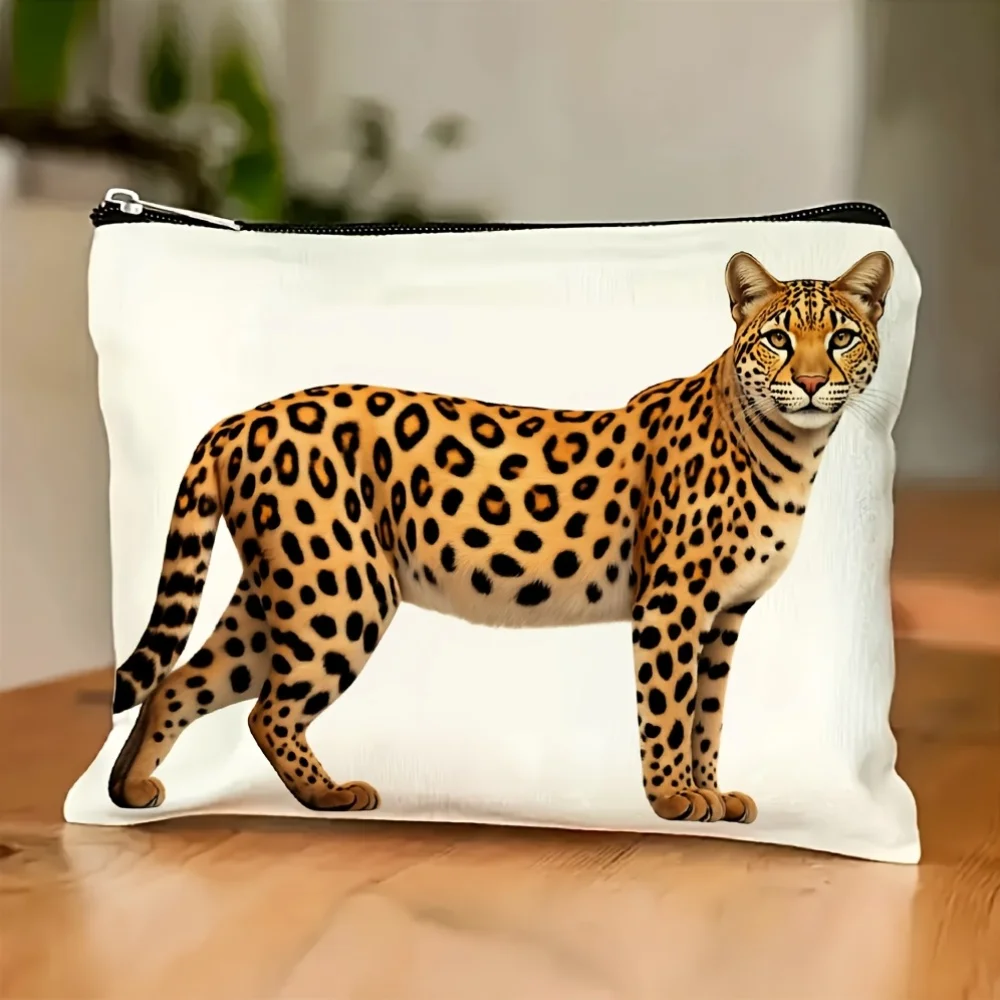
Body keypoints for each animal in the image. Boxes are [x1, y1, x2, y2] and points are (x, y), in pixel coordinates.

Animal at [108, 249, 893, 825]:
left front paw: (712, 791)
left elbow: (708, 712)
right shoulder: (673, 604)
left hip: (290, 588)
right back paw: (331, 796)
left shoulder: (726, 615)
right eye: (778, 339)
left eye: (843, 337)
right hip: (341, 593)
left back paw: (130, 790)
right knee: (267, 711)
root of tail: (239, 418)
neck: (793, 456)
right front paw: (674, 796)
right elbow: (668, 707)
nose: (814, 383)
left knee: (180, 682)